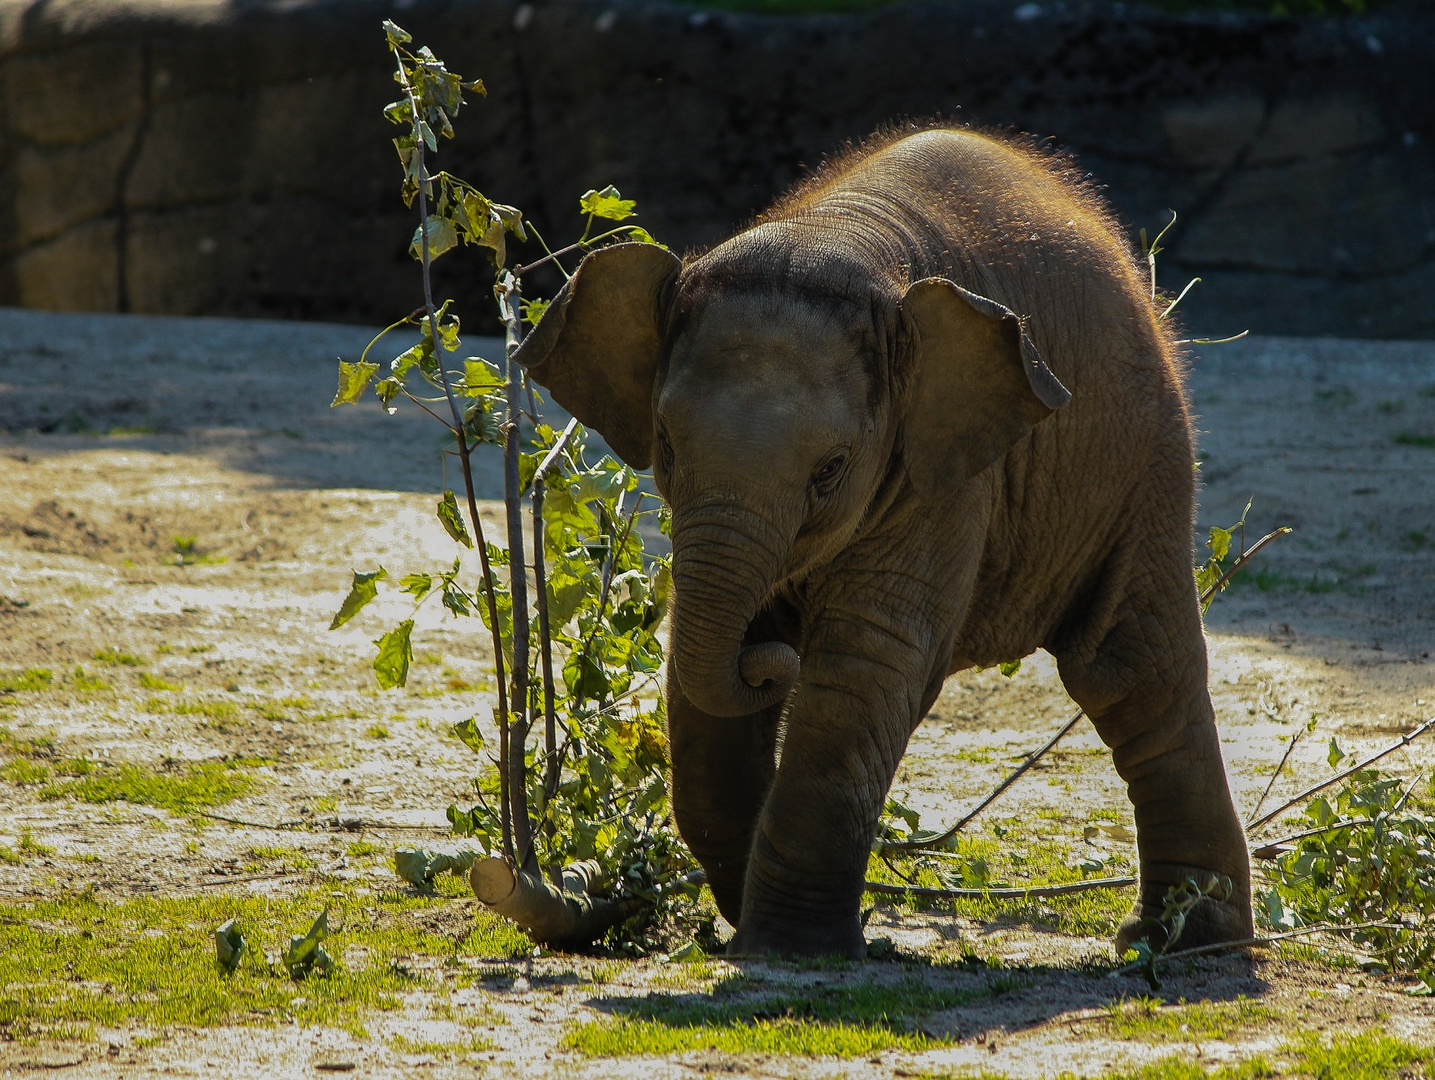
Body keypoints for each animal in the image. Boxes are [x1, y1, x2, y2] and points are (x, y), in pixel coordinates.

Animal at [510, 121, 1251, 958]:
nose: (770, 661)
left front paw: (792, 950)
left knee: (1133, 673)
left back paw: (1183, 943)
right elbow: (697, 685)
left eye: (830, 470)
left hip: (1145, 463)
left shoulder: (944, 469)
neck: (838, 233)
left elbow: (863, 662)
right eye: (664, 443)